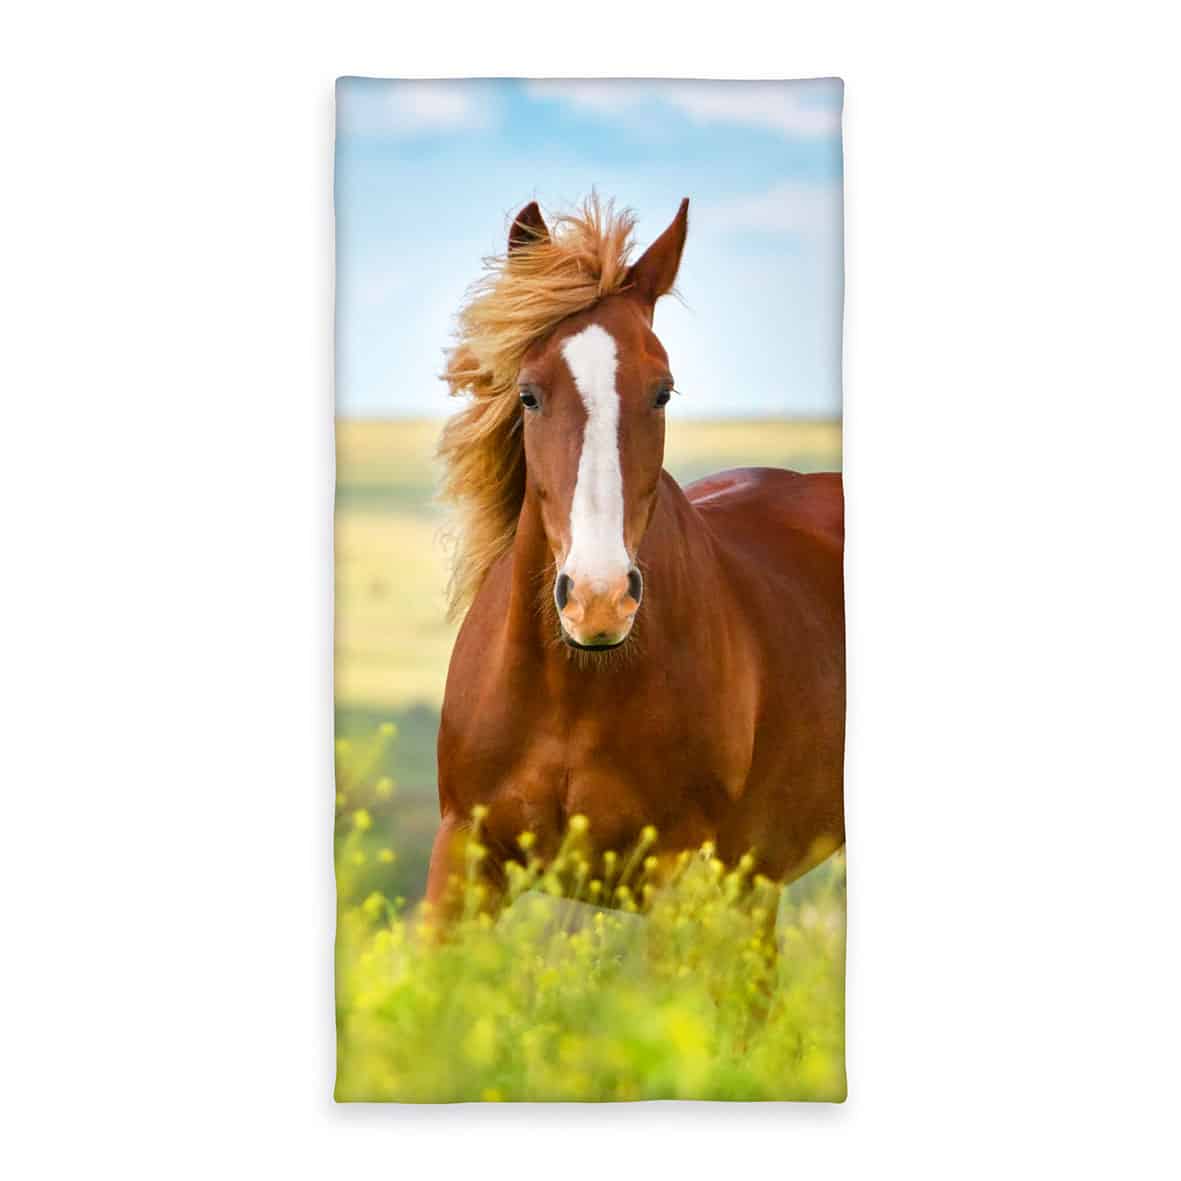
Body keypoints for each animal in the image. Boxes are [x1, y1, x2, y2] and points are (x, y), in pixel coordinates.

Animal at [427, 195, 845, 916]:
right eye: (529, 393)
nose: (598, 601)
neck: (572, 690)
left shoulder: (677, 870)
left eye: (663, 391)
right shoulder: (462, 853)